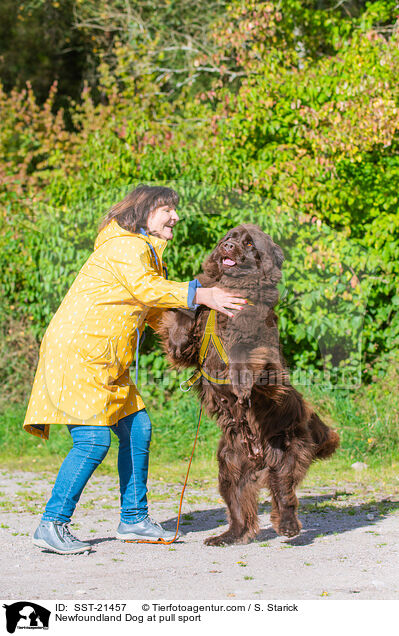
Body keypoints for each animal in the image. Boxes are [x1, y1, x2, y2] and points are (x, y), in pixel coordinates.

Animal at [158, 225, 340, 548]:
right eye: (228, 237)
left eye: (249, 243)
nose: (228, 246)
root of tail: (259, 457)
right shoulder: (193, 335)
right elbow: (182, 324)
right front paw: (185, 320)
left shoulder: (256, 340)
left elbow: (245, 354)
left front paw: (242, 386)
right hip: (229, 462)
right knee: (240, 505)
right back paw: (227, 536)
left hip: (286, 451)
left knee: (284, 492)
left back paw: (288, 527)